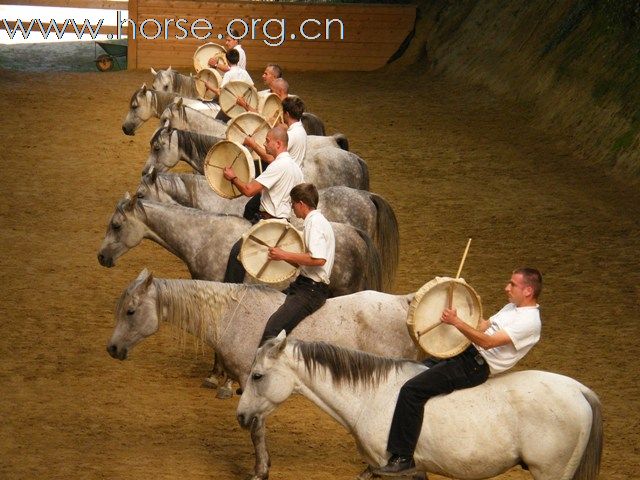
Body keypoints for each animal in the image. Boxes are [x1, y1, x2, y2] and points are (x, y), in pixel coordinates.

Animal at [107, 270, 418, 480]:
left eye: (130, 311)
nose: (112, 348)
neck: (230, 315)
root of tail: (403, 303)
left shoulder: (253, 384)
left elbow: (256, 430)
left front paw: (261, 470)